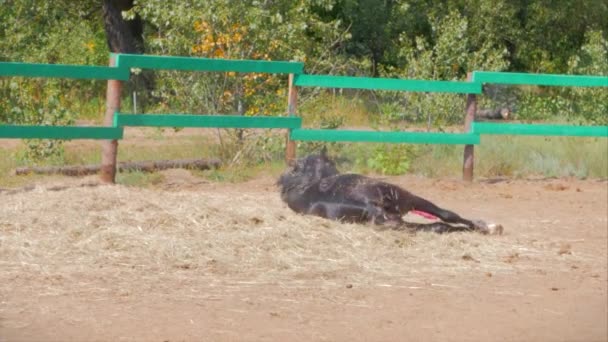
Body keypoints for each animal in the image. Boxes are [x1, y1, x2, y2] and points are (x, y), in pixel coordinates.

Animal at [276, 150, 504, 235]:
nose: (279, 181)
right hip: (406, 204)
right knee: (441, 223)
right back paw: (486, 228)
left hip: (406, 206)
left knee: (444, 218)